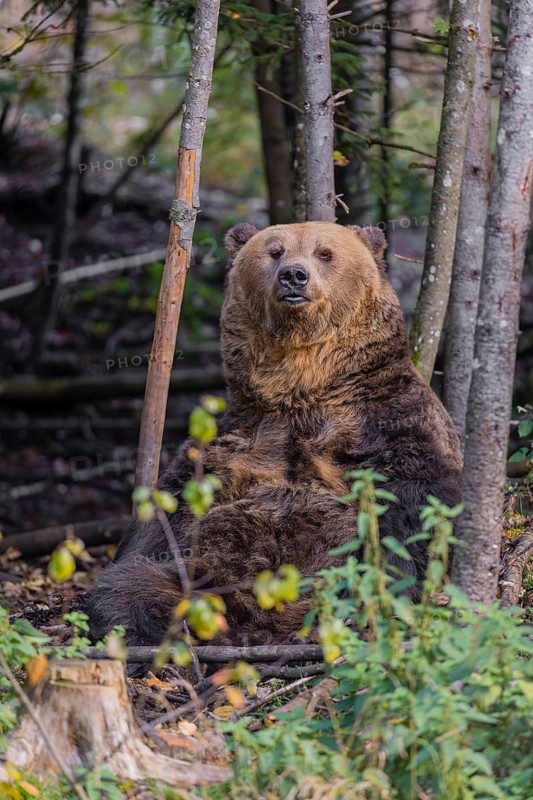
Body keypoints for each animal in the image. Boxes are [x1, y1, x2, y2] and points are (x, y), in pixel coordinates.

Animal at [87, 221, 462, 651]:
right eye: (275, 251)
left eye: (325, 252)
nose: (294, 276)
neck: (302, 384)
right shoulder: (235, 440)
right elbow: (162, 521)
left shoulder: (389, 423)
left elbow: (413, 507)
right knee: (128, 588)